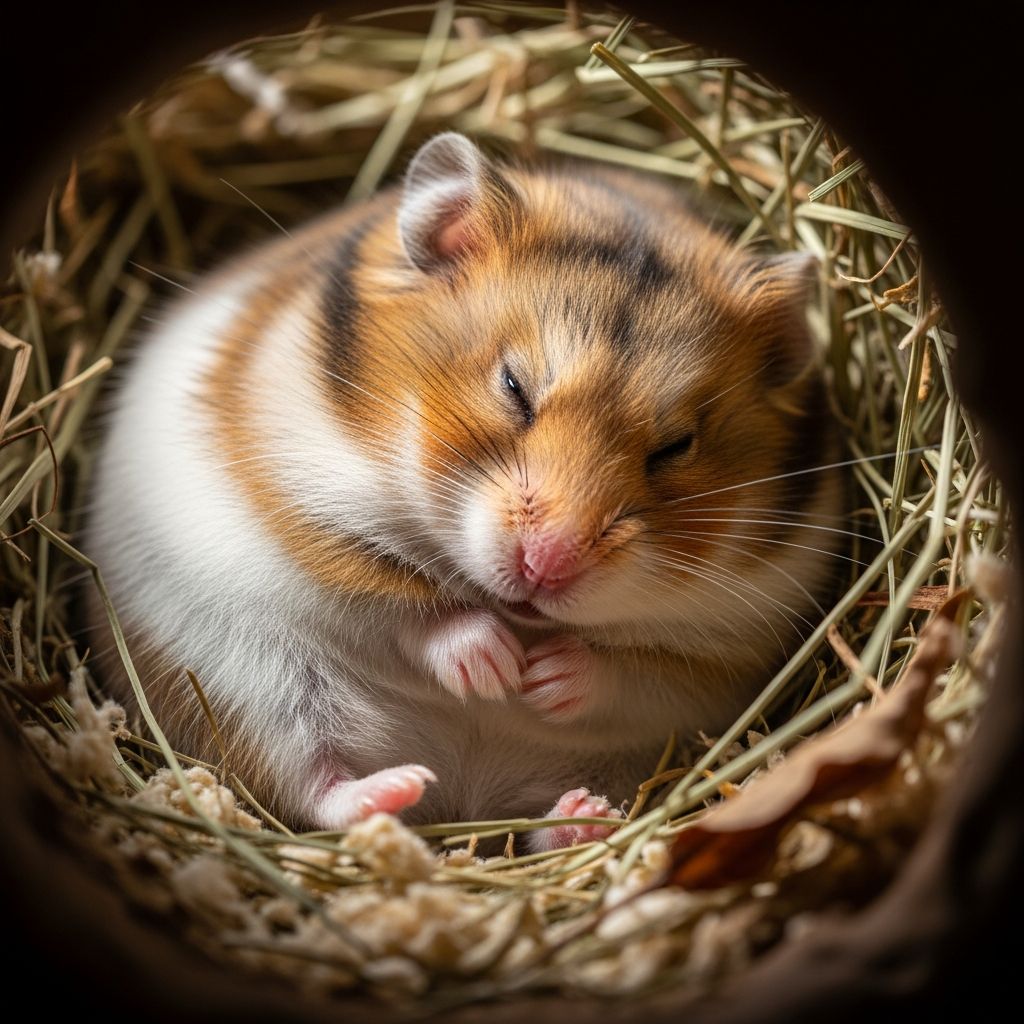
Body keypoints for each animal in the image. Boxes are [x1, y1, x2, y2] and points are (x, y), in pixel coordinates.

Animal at [85, 132, 842, 848]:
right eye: (513, 387)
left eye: (675, 447)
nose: (548, 565)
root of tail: (462, 793)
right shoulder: (300, 517)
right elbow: (405, 610)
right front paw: (496, 669)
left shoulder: (734, 648)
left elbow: (633, 670)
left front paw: (540, 679)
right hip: (246, 688)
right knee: (314, 790)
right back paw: (397, 788)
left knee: (535, 823)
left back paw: (582, 815)